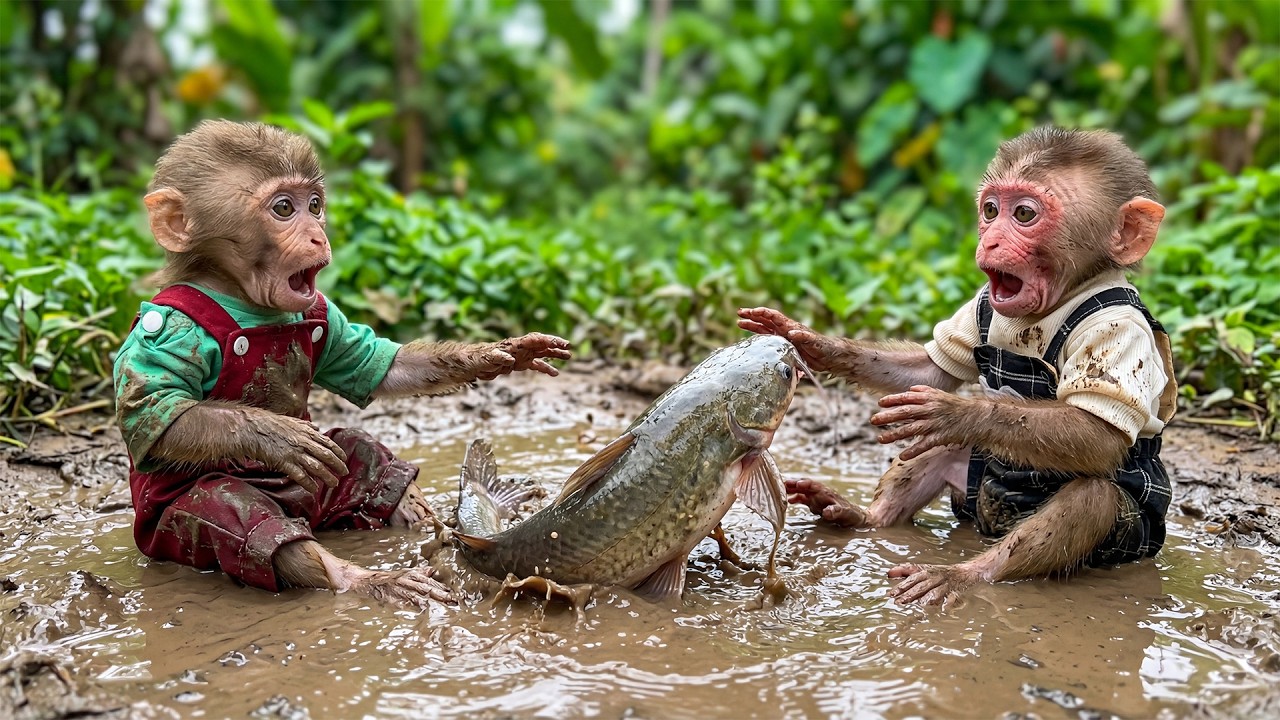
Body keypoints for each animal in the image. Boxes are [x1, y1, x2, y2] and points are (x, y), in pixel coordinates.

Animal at [113, 120, 572, 609]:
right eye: (283, 208)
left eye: (314, 206)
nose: (318, 234)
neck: (244, 301)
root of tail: (305, 510)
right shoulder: (170, 326)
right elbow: (158, 412)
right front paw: (280, 437)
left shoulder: (322, 311)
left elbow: (379, 364)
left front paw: (504, 352)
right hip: (169, 526)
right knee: (234, 513)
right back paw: (362, 577)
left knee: (361, 452)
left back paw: (422, 516)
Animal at [739, 126, 1178, 607]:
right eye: (991, 211)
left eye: (1024, 214)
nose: (990, 240)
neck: (1053, 307)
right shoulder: (981, 302)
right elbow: (931, 372)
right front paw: (807, 340)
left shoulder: (1118, 328)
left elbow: (1098, 432)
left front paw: (955, 412)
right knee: (940, 450)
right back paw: (866, 519)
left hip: (1136, 534)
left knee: (1093, 497)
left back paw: (966, 573)